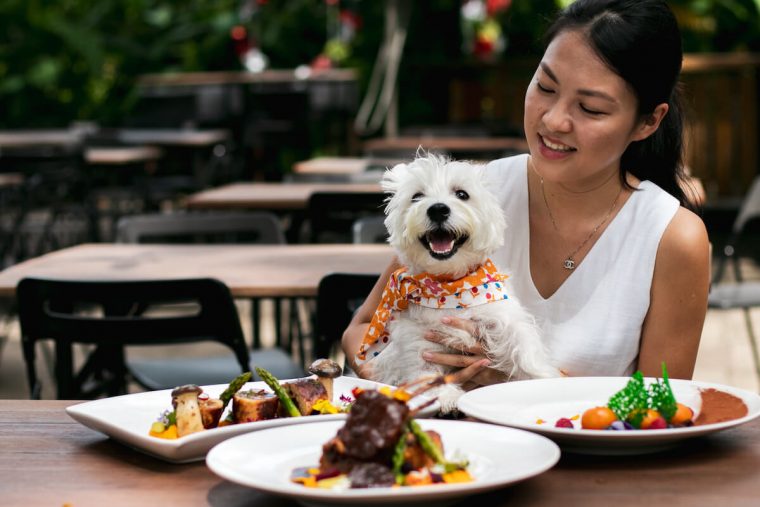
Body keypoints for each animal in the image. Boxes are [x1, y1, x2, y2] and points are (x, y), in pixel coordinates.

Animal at [356, 154, 560, 412]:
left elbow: (525, 348)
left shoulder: (503, 316)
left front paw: (541, 381)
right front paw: (445, 397)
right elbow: (426, 371)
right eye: (417, 196)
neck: (447, 289)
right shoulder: (417, 342)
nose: (438, 209)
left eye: (462, 194)